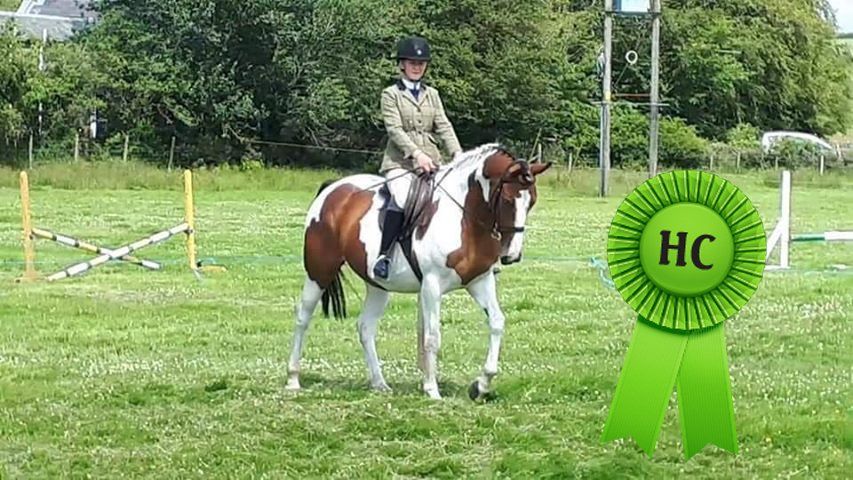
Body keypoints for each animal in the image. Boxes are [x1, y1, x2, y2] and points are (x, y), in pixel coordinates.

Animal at [285, 143, 551, 400]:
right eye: (507, 200)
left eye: (531, 202)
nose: (512, 255)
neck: (464, 218)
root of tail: (333, 189)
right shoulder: (432, 285)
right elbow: (432, 337)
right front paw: (432, 389)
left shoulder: (480, 281)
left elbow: (497, 322)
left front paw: (481, 386)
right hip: (319, 271)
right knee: (303, 317)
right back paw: (293, 379)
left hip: (377, 286)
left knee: (365, 327)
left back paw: (379, 384)